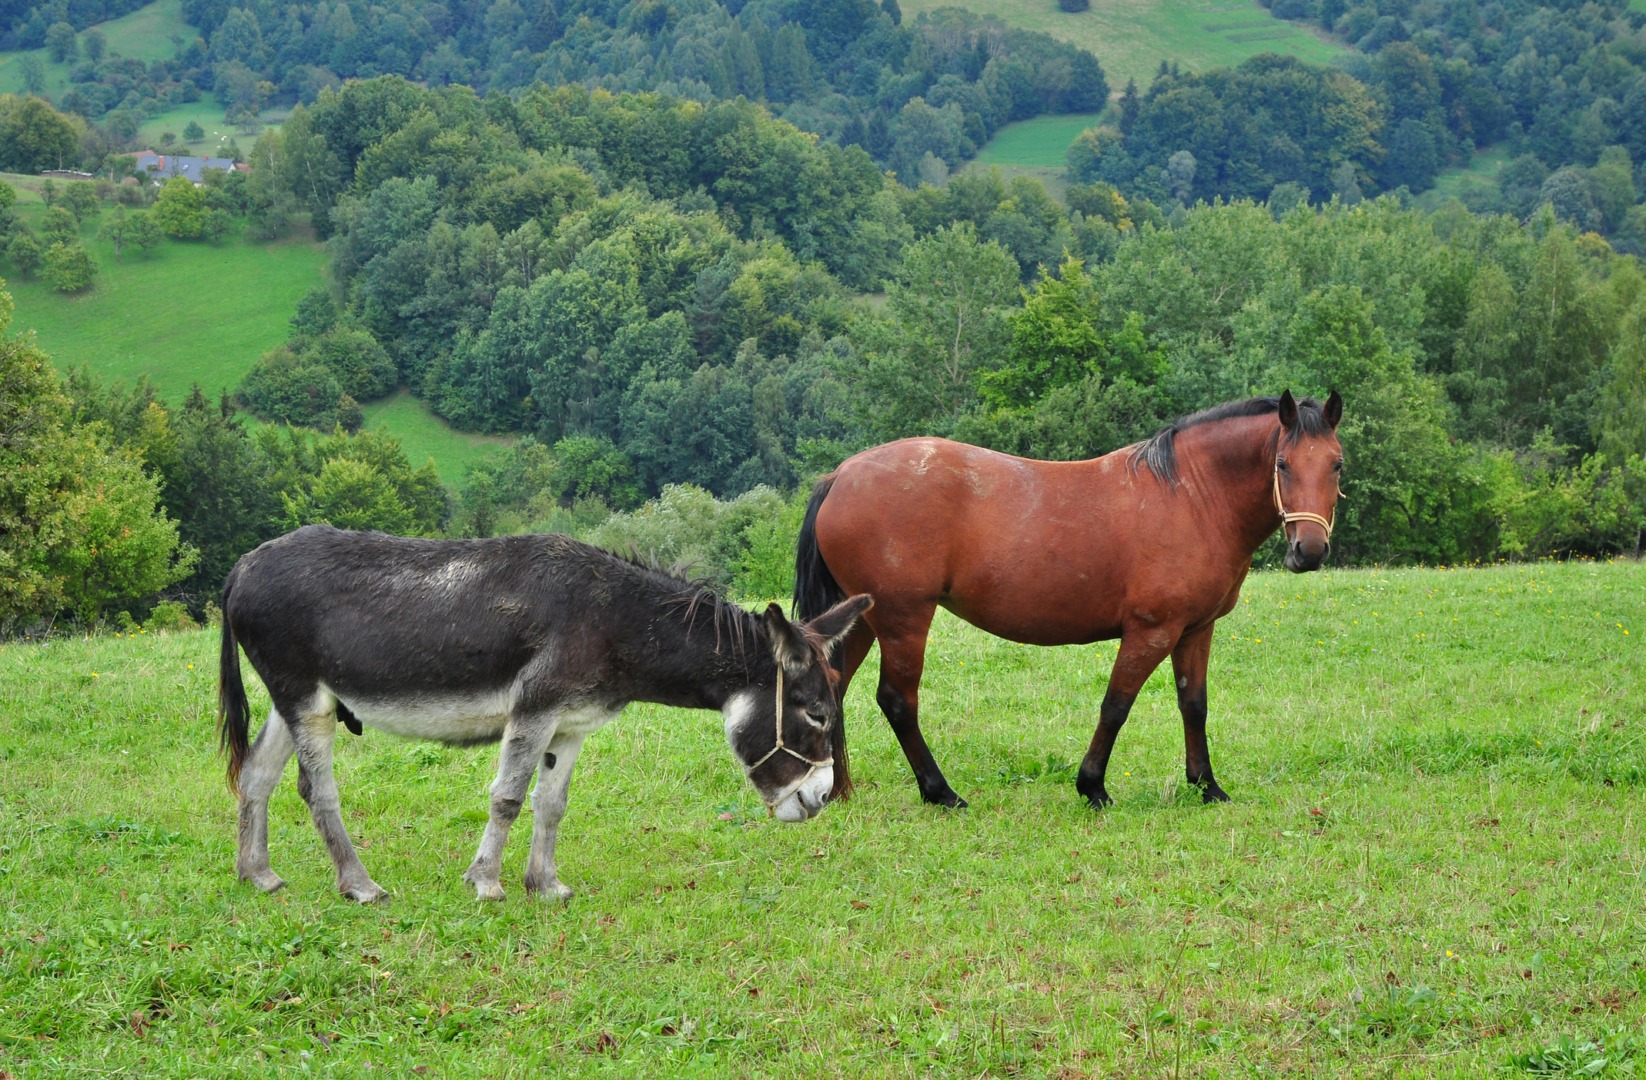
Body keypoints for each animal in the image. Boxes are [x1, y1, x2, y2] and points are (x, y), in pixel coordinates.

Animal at [796, 391, 1349, 806]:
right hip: (904, 619)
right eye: (1282, 463)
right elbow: (1116, 705)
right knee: (897, 700)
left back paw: (838, 792)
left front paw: (1206, 786)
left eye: (1337, 465)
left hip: (862, 620)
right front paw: (1092, 787)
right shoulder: (1152, 630)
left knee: (835, 689)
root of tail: (840, 476)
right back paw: (941, 793)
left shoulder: (1195, 629)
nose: (1310, 550)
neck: (1191, 496)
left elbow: (1194, 704)